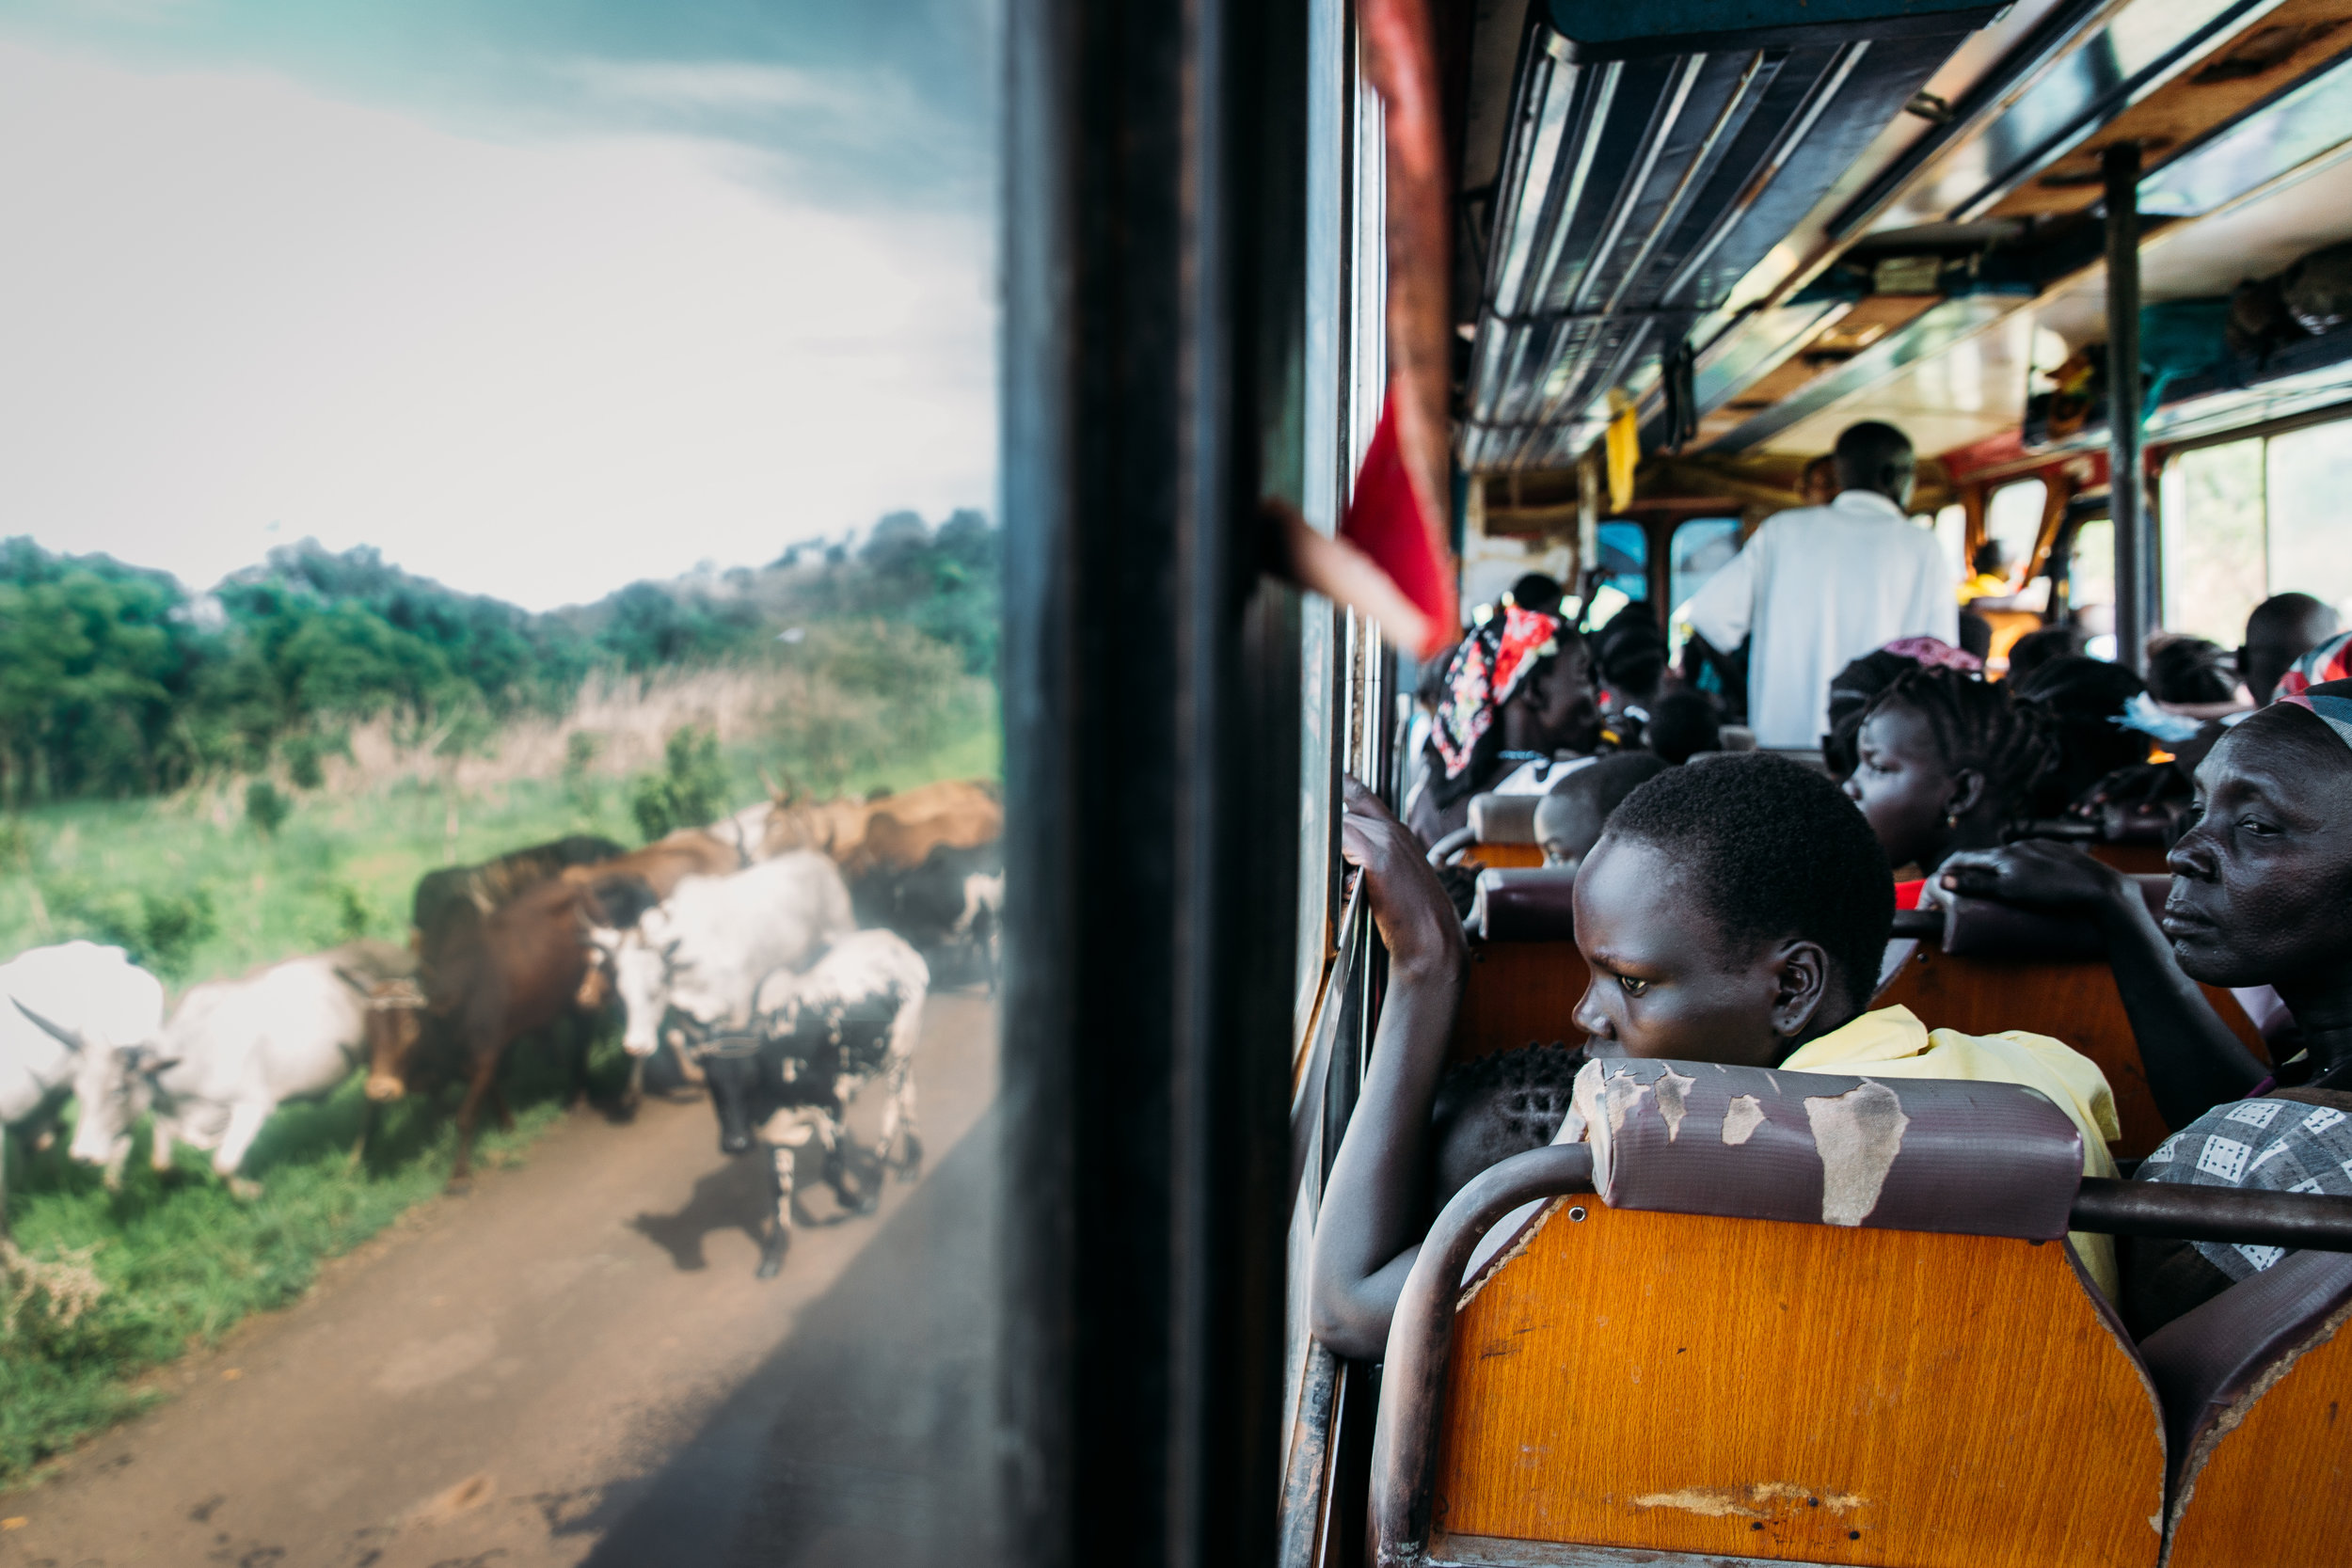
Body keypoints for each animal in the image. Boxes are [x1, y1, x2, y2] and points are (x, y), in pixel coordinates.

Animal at [71, 944, 411, 1203]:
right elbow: (161, 1163)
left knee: (373, 1101)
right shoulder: (171, 1112)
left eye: (118, 1089)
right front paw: (179, 1176)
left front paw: (249, 1190)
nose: (81, 1156)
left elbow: (223, 1163)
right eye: (79, 1092)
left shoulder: (253, 1106)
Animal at [588, 850, 856, 1062]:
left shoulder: (739, 1008)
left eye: (655, 986)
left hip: (844, 928)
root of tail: (818, 859)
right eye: (621, 992)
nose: (636, 1047)